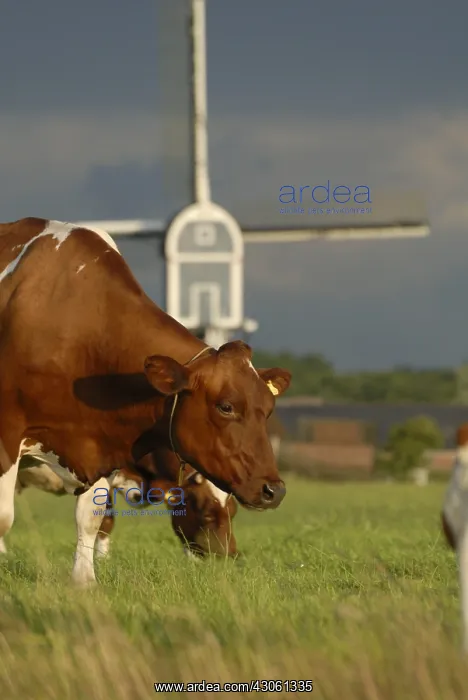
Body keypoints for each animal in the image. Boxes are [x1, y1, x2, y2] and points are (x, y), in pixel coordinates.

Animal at [0, 218, 290, 585]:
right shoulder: (7, 436)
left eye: (268, 410)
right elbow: (4, 518)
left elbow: (93, 516)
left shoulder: (97, 443)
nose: (274, 490)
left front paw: (85, 581)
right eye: (226, 406)